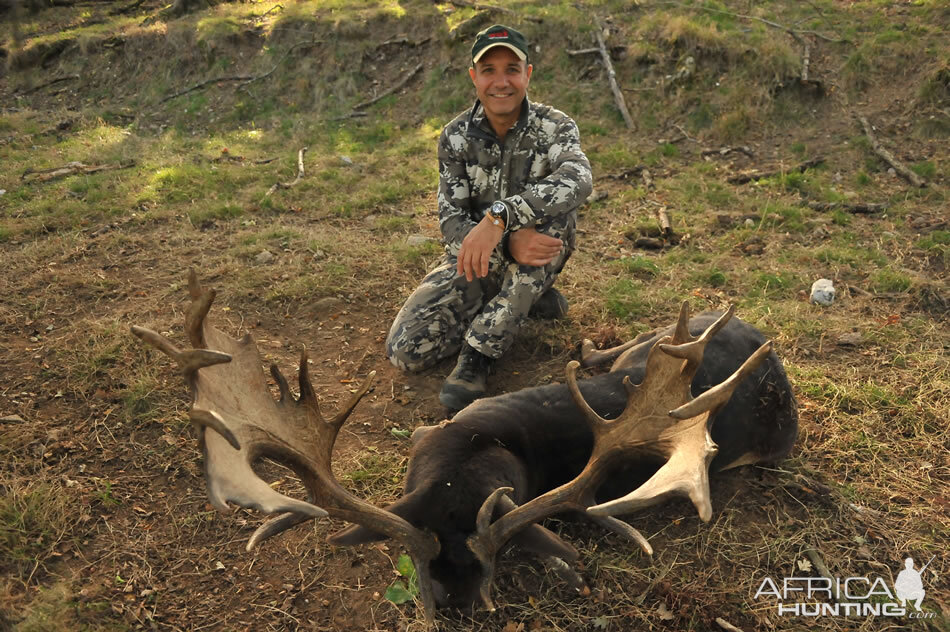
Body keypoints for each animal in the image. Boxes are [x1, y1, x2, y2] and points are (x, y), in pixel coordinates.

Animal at [130, 270, 800, 624]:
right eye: (429, 600)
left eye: (485, 595)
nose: (454, 608)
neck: (470, 452)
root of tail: (757, 334)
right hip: (659, 338)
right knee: (618, 350)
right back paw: (585, 348)